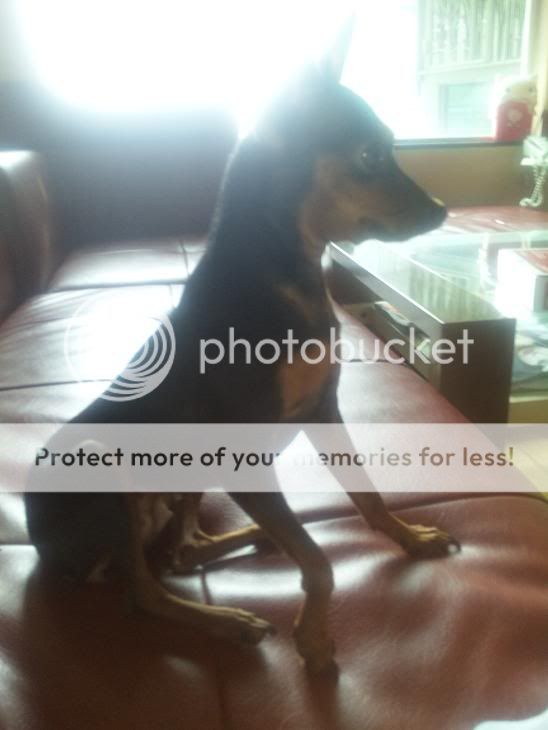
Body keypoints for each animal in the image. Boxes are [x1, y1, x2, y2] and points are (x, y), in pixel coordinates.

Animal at [25, 56, 457, 673]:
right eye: (370, 154)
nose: (442, 211)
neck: (287, 277)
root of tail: (45, 552)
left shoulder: (324, 410)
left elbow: (365, 494)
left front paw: (410, 537)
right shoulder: (247, 452)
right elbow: (319, 561)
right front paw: (314, 637)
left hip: (184, 480)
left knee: (183, 551)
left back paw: (253, 536)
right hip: (100, 468)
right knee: (143, 592)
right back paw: (229, 618)